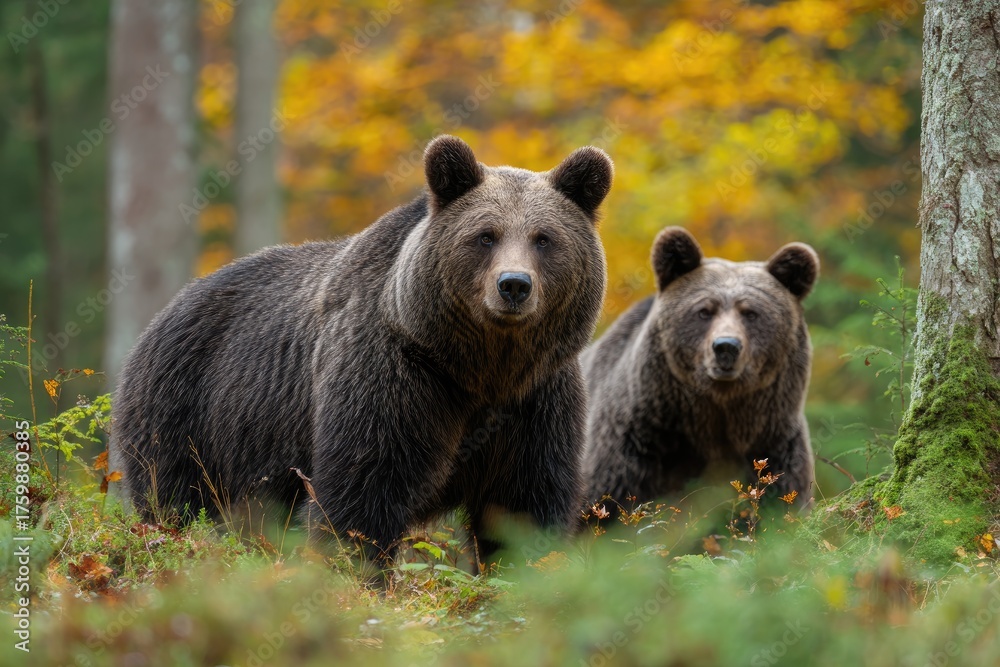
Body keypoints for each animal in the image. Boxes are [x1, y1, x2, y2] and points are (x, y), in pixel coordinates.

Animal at [111, 135, 613, 567]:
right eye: (485, 235)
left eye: (544, 238)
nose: (513, 285)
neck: (478, 366)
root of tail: (167, 310)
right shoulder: (395, 373)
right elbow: (364, 489)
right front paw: (359, 573)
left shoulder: (535, 396)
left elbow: (523, 500)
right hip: (192, 415)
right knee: (178, 501)